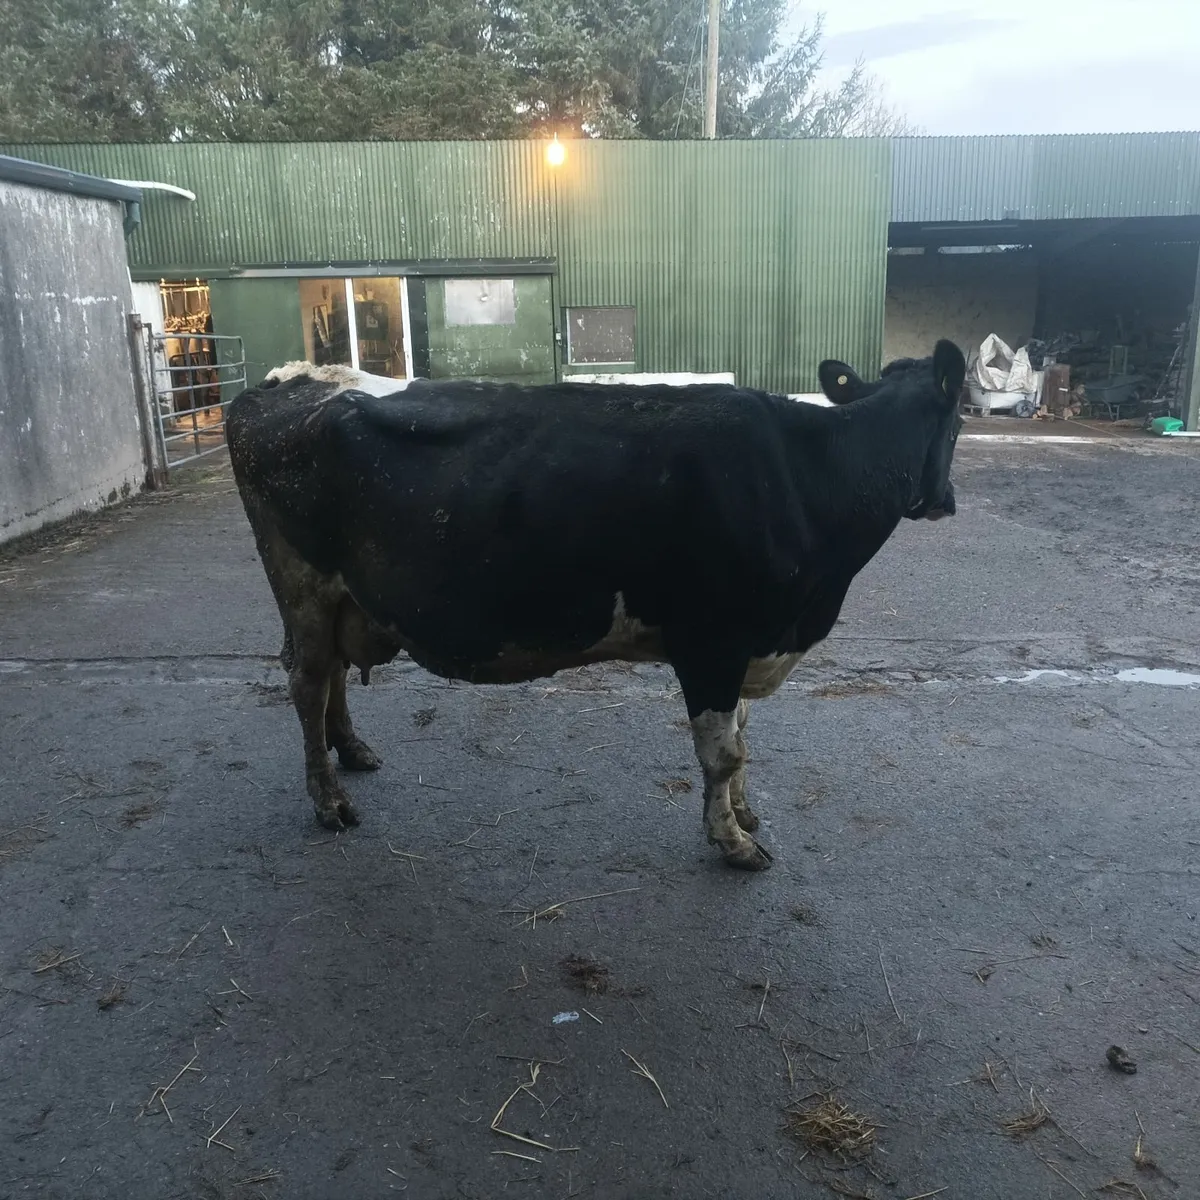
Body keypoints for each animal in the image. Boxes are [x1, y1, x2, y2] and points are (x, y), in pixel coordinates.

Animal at [226, 339, 966, 871]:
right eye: (958, 422)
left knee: (331, 675)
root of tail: (291, 379)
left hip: (344, 596)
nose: (946, 500)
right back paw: (329, 800)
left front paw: (744, 814)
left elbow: (743, 738)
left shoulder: (748, 642)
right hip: (302, 583)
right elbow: (722, 752)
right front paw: (731, 842)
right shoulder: (713, 641)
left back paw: (352, 752)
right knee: (308, 680)